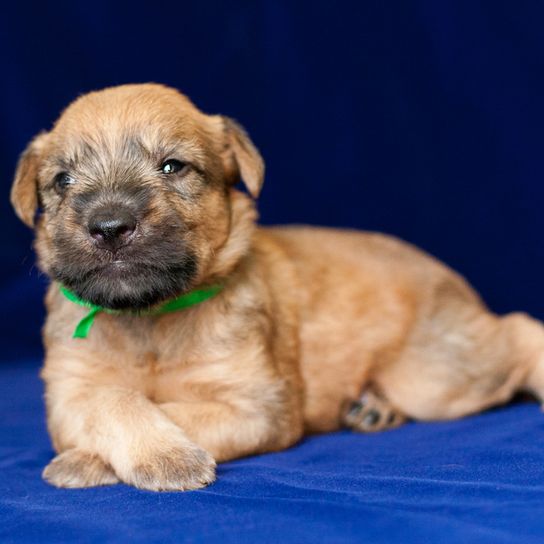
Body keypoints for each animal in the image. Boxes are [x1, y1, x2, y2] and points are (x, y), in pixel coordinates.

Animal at [9, 83, 544, 490]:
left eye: (172, 166)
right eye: (63, 180)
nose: (110, 226)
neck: (151, 319)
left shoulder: (259, 404)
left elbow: (173, 409)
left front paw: (146, 459)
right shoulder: (68, 393)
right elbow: (113, 400)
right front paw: (122, 456)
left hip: (439, 379)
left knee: (517, 332)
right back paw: (372, 410)